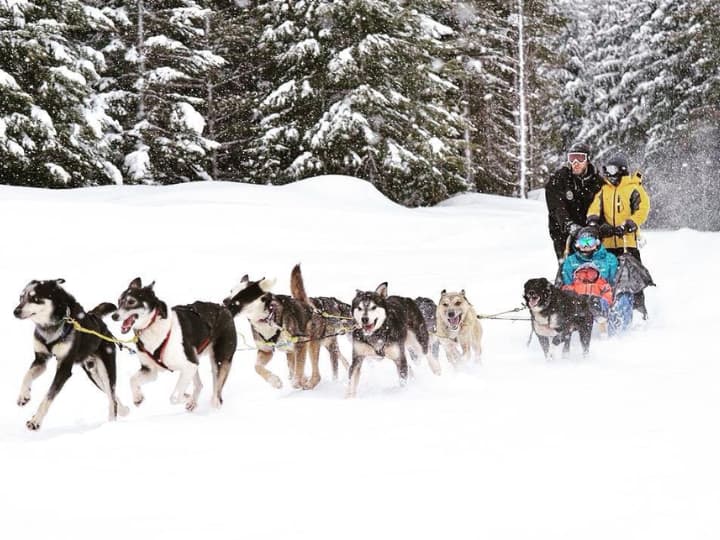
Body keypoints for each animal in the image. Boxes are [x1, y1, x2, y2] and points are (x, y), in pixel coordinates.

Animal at [13, 278, 128, 430]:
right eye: (21, 297)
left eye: (35, 298)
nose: (15, 311)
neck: (51, 327)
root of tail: (98, 320)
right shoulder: (41, 360)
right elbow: (27, 376)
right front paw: (23, 395)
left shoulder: (64, 368)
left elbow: (48, 396)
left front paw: (35, 421)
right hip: (94, 375)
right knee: (112, 396)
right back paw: (123, 410)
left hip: (106, 371)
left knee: (112, 397)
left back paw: (111, 424)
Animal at [112, 280, 236, 412]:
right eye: (119, 302)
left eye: (131, 301)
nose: (114, 316)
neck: (153, 327)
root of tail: (224, 309)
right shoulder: (151, 370)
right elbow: (132, 380)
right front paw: (137, 397)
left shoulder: (189, 366)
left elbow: (174, 398)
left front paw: (185, 397)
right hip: (194, 361)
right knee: (199, 385)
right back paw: (193, 402)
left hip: (218, 361)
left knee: (216, 393)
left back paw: (213, 405)